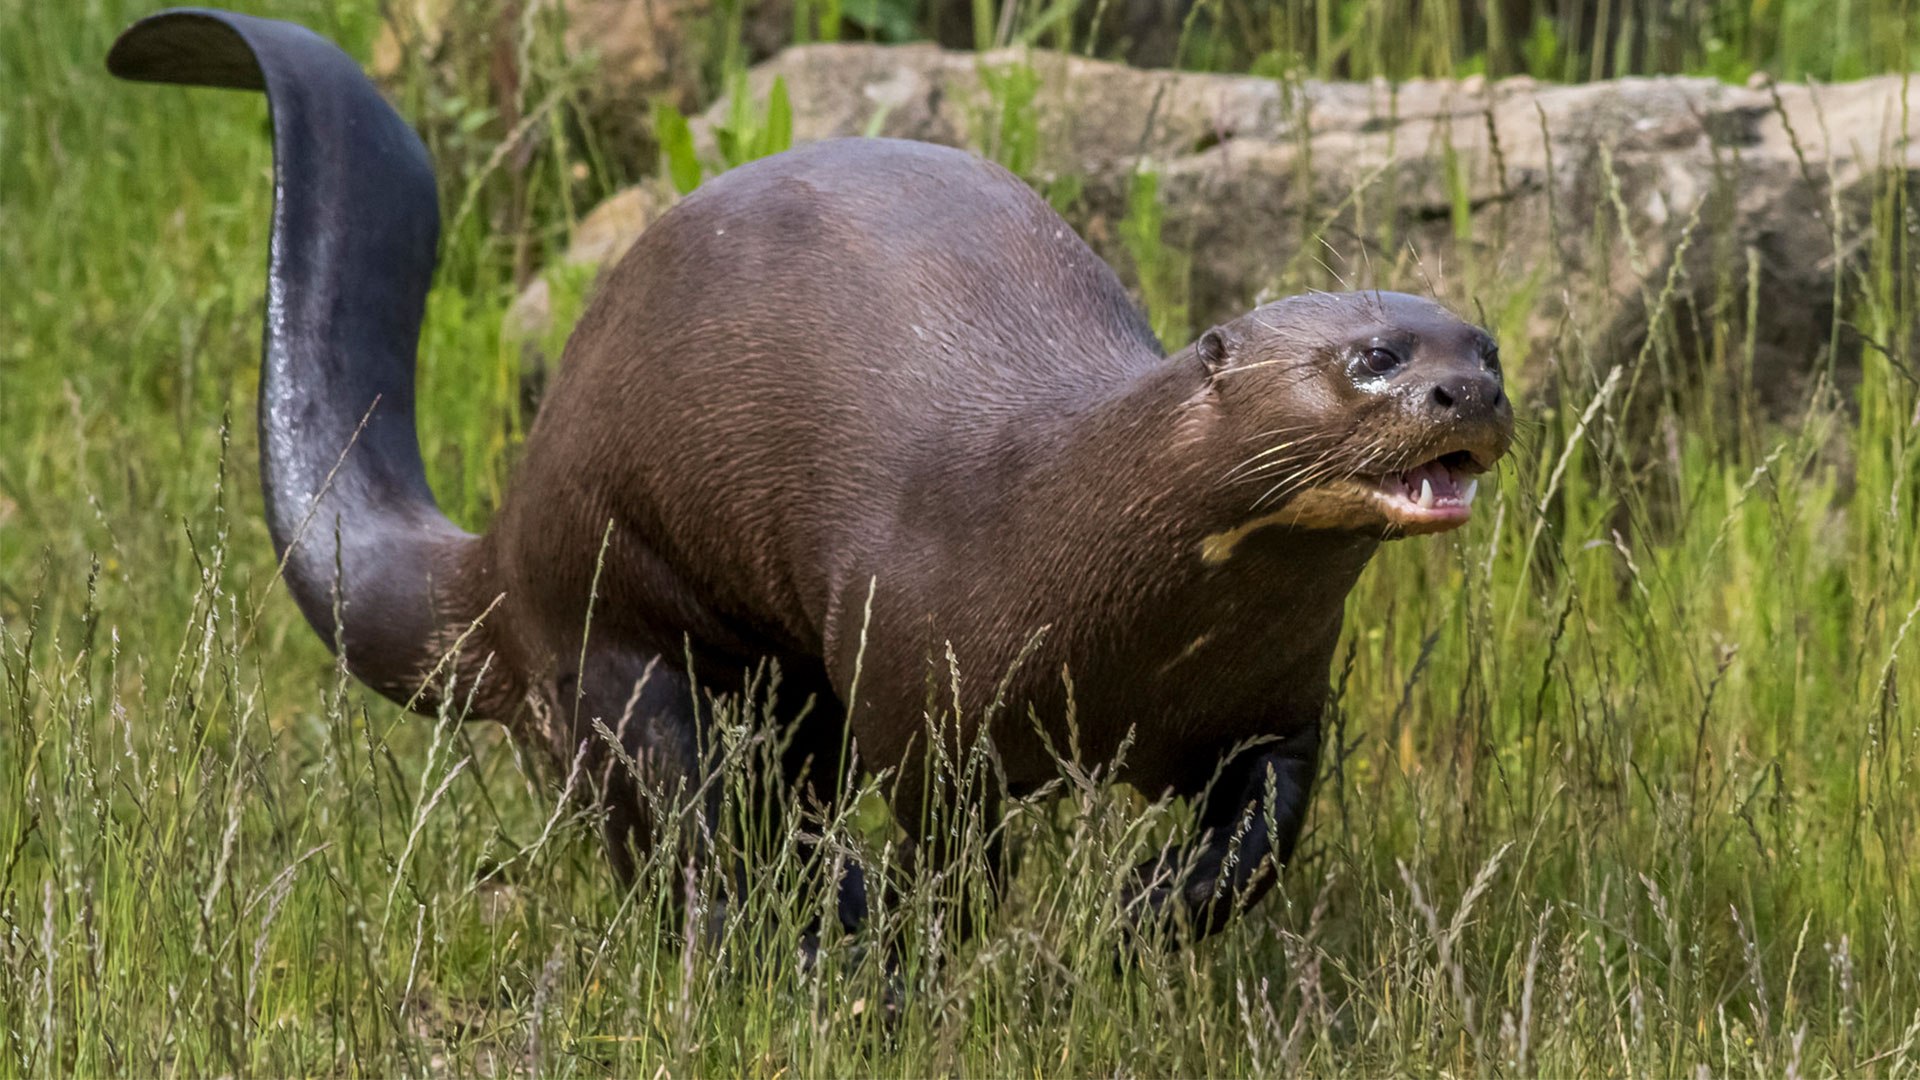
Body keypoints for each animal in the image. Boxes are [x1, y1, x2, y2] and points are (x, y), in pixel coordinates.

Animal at [108, 8, 1512, 937]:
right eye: (1373, 357)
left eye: (1486, 342)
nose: (1474, 392)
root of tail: (502, 545)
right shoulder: (922, 677)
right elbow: (954, 846)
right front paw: (961, 943)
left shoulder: (1273, 700)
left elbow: (1265, 825)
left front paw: (1144, 914)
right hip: (609, 624)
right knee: (680, 820)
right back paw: (811, 923)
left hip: (777, 680)